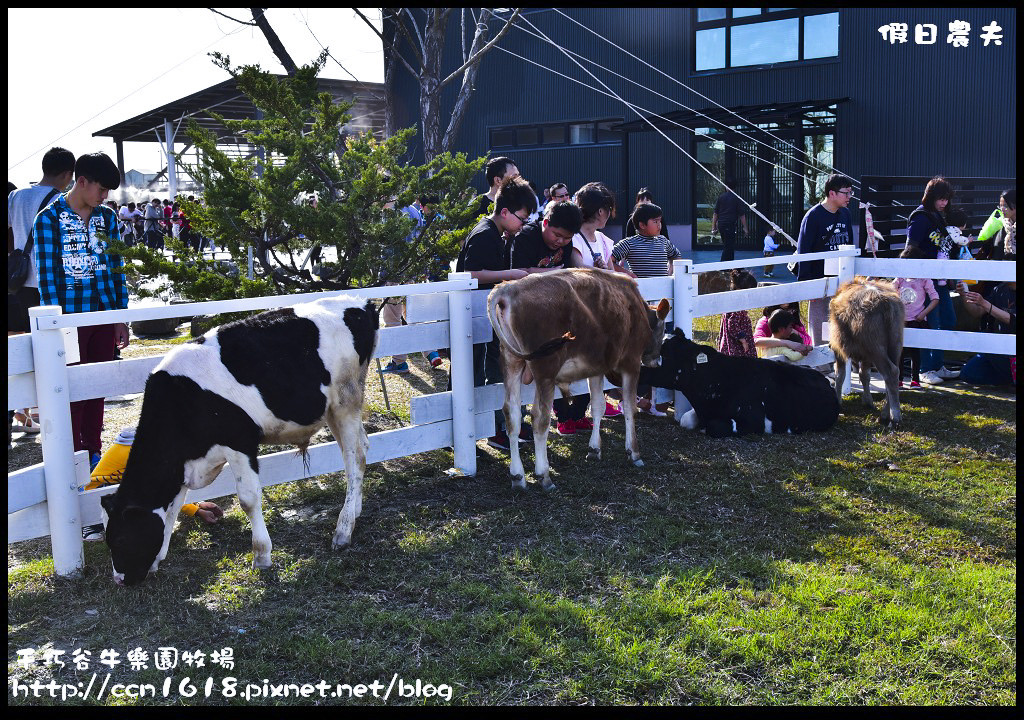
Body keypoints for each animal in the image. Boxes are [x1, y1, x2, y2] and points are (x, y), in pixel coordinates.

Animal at [99, 294, 378, 581]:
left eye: (120, 539)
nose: (120, 581)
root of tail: (358, 301)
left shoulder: (239, 442)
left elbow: (248, 499)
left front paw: (262, 555)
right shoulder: (184, 463)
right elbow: (174, 504)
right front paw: (160, 554)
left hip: (346, 400)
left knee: (354, 458)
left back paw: (343, 529)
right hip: (332, 408)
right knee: (361, 449)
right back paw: (355, 510)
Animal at [485, 268, 671, 493]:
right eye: (663, 331)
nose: (657, 361)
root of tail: (507, 289)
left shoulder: (597, 368)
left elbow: (598, 406)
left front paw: (594, 449)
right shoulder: (631, 363)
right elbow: (629, 408)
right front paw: (634, 453)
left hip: (512, 363)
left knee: (512, 416)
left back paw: (517, 476)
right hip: (545, 370)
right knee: (540, 419)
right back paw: (544, 475)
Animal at [827, 276, 909, 428]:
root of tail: (885, 302)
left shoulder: (838, 350)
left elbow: (840, 375)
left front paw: (838, 400)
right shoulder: (865, 357)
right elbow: (864, 375)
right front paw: (867, 400)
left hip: (876, 349)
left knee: (891, 372)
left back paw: (894, 417)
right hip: (894, 346)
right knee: (893, 375)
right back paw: (885, 414)